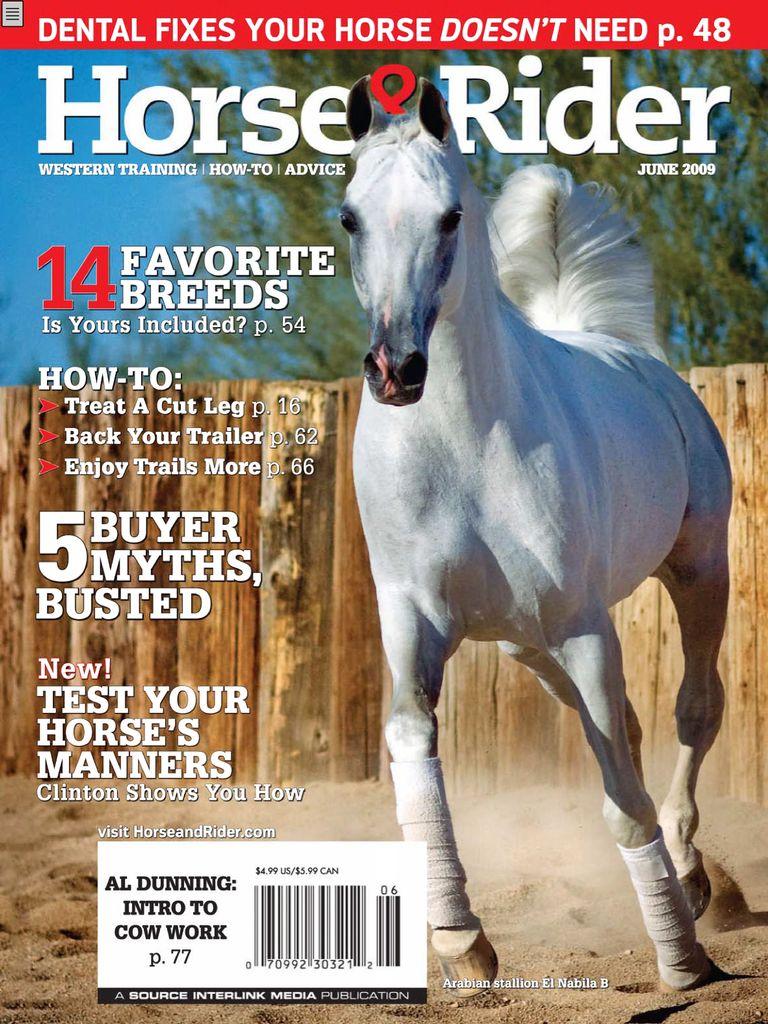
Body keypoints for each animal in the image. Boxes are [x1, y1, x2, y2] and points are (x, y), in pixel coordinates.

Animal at [342, 76, 731, 994]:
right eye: (349, 217)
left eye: (450, 216)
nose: (395, 369)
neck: (461, 444)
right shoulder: (412, 619)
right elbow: (412, 747)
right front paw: (461, 940)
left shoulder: (584, 627)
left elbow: (624, 806)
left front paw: (681, 961)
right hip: (527, 647)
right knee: (629, 730)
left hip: (701, 572)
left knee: (693, 713)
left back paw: (695, 881)